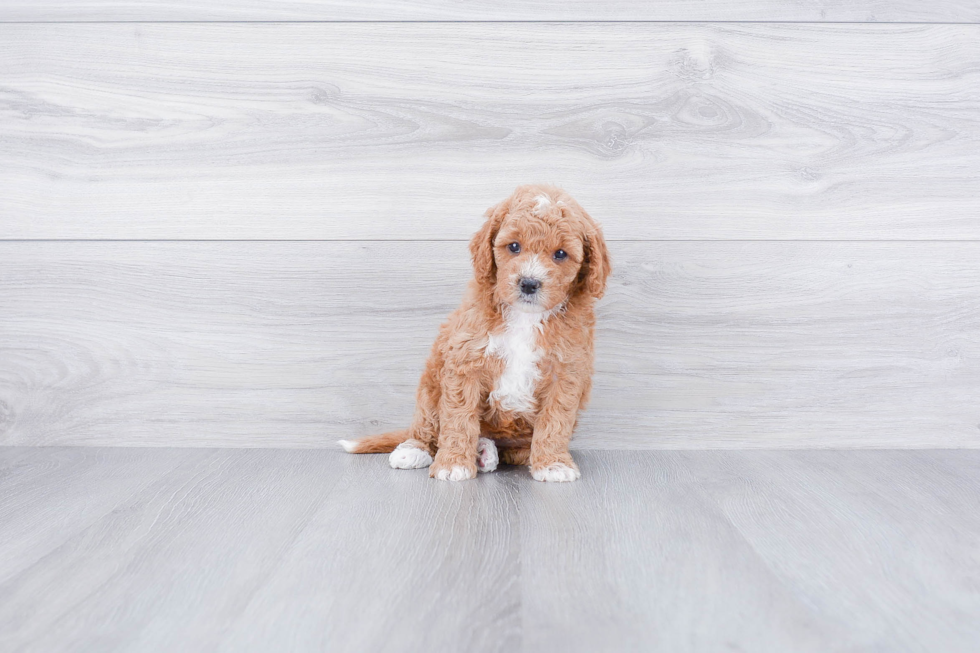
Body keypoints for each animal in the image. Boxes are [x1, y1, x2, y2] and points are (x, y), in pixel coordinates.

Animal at [340, 183, 608, 478]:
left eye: (560, 254)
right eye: (514, 246)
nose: (528, 283)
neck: (525, 317)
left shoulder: (567, 372)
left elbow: (555, 421)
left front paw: (553, 463)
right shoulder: (465, 361)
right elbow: (459, 418)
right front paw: (453, 463)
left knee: (510, 448)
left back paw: (486, 452)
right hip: (431, 384)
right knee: (426, 425)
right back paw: (415, 449)